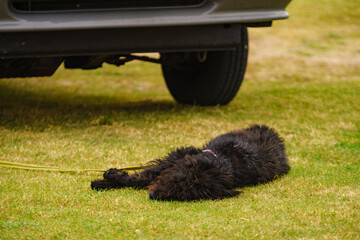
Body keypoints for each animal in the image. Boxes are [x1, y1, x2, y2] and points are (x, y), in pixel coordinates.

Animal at [91, 124, 292, 202]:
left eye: (186, 194)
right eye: (177, 178)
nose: (153, 195)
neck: (224, 161)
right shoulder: (175, 158)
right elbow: (144, 175)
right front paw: (106, 179)